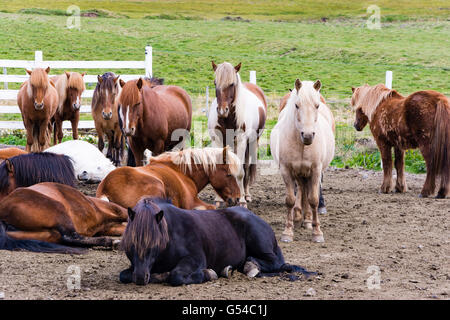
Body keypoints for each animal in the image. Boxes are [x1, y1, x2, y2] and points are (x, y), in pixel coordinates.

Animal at [96, 147, 241, 210]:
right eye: (229, 174)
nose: (238, 198)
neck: (183, 173)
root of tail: (105, 185)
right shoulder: (191, 202)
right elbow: (212, 207)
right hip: (157, 185)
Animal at [120, 198, 316, 284]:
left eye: (154, 245)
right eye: (131, 245)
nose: (140, 278)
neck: (169, 232)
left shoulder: (195, 259)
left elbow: (175, 276)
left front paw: (208, 274)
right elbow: (123, 275)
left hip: (261, 245)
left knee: (275, 262)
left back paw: (250, 266)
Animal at [208, 61, 268, 206]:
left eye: (231, 84)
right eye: (215, 82)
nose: (222, 110)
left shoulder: (241, 142)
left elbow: (241, 171)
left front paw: (241, 201)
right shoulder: (217, 140)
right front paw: (218, 200)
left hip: (252, 143)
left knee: (246, 167)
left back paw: (246, 195)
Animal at [270, 79, 334, 242]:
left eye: (316, 105)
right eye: (297, 105)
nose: (308, 135)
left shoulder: (316, 170)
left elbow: (313, 200)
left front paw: (317, 232)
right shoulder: (286, 170)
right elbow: (290, 200)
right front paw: (288, 232)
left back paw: (307, 220)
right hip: (299, 173)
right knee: (301, 189)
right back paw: (300, 218)